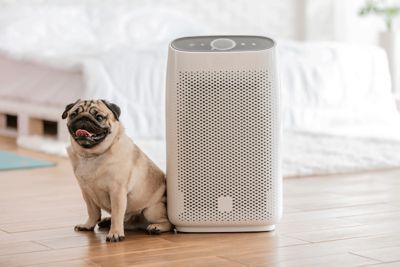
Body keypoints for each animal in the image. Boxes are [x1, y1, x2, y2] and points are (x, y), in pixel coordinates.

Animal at [62, 100, 172, 243]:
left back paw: (155, 227)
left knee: (167, 223)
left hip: (152, 209)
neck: (92, 155)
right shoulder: (87, 193)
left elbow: (117, 214)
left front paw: (115, 233)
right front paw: (88, 225)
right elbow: (92, 212)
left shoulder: (117, 192)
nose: (84, 118)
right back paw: (106, 221)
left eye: (99, 117)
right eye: (73, 115)